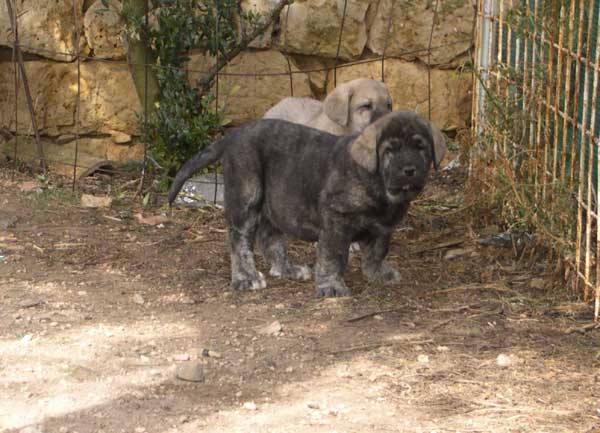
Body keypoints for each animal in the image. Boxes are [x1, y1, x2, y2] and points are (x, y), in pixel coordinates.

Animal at [166, 109, 442, 296]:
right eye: (390, 151)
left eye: (421, 148)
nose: (409, 170)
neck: (377, 183)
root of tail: (232, 136)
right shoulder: (335, 219)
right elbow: (333, 255)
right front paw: (331, 287)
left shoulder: (384, 227)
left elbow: (377, 250)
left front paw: (378, 273)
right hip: (247, 195)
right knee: (239, 240)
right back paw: (246, 278)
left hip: (273, 201)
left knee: (270, 238)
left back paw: (287, 269)